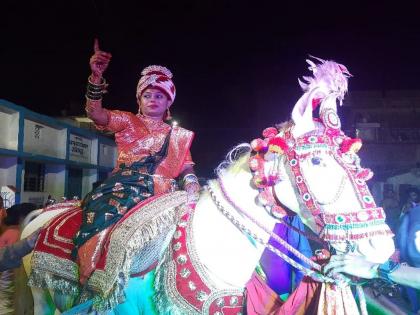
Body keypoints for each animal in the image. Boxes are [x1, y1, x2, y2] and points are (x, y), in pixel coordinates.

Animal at [20, 57, 394, 315]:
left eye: (358, 164)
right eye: (317, 162)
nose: (381, 248)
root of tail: (46, 211)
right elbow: (101, 114)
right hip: (41, 295)